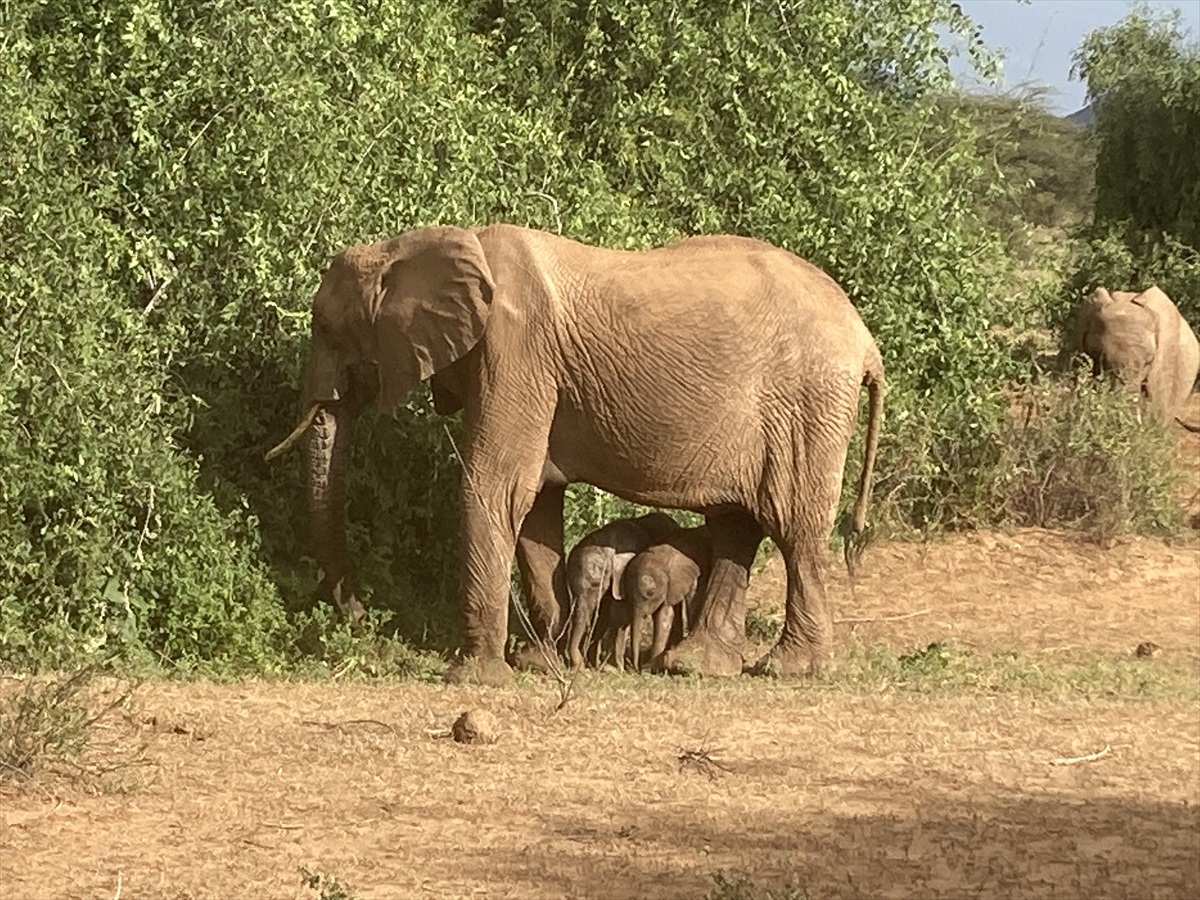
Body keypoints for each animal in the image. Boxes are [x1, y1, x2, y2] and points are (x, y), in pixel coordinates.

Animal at [564, 513, 686, 672]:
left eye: (596, 585)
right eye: (572, 589)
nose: (577, 665)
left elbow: (620, 616)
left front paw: (612, 668)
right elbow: (605, 616)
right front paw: (599, 666)